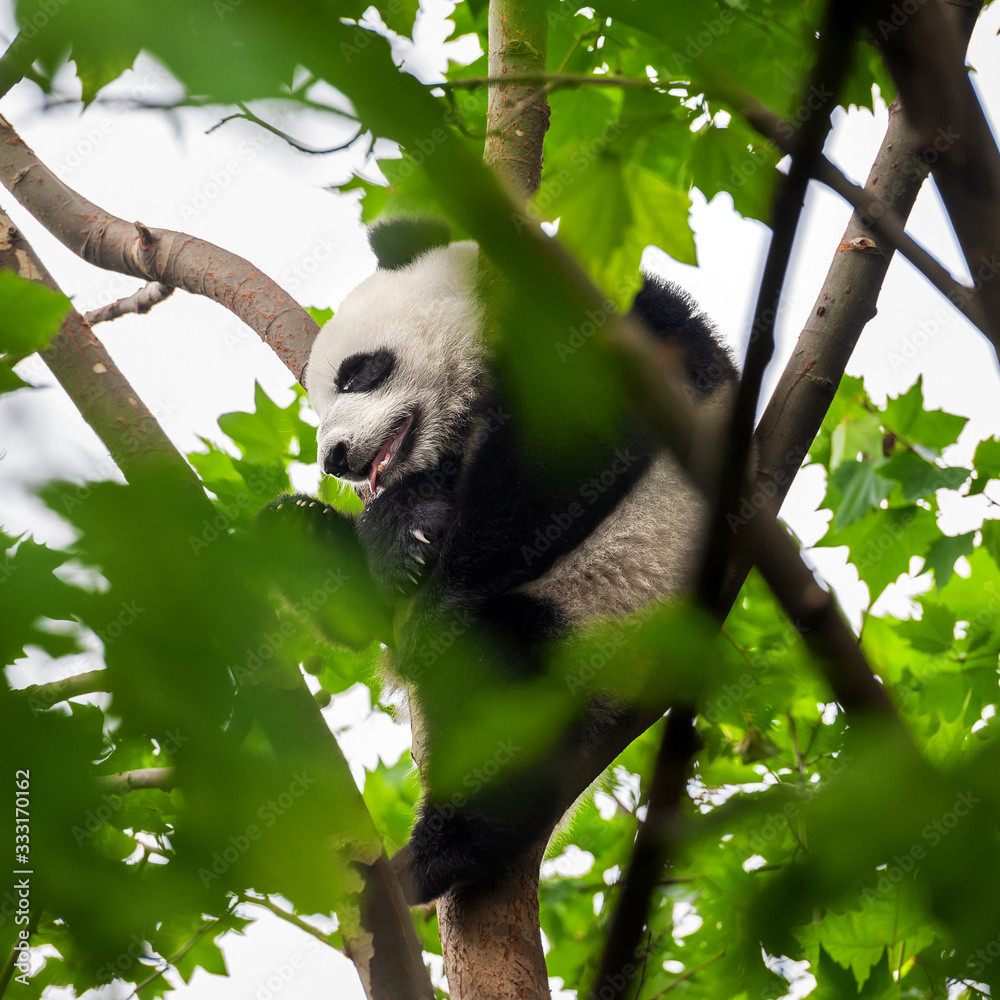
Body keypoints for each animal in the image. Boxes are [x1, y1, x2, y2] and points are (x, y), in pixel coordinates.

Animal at [297, 218, 737, 906]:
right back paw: (303, 537)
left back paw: (441, 853)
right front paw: (401, 533)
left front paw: (436, 604)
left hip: (612, 614)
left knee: (501, 687)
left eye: (357, 372)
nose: (335, 458)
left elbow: (560, 450)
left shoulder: (615, 326)